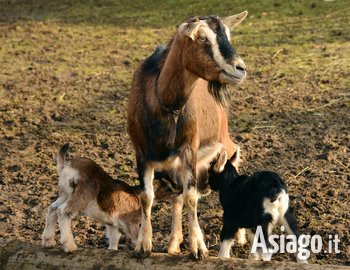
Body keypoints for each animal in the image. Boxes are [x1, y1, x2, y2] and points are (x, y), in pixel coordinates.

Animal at [127, 11, 247, 258]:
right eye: (202, 38)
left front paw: (198, 247)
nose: (240, 68)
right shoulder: (141, 153)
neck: (163, 104)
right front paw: (143, 245)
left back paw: (239, 236)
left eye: (228, 35)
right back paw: (173, 242)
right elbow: (147, 197)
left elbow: (191, 197)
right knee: (176, 197)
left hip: (224, 142)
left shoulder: (189, 148)